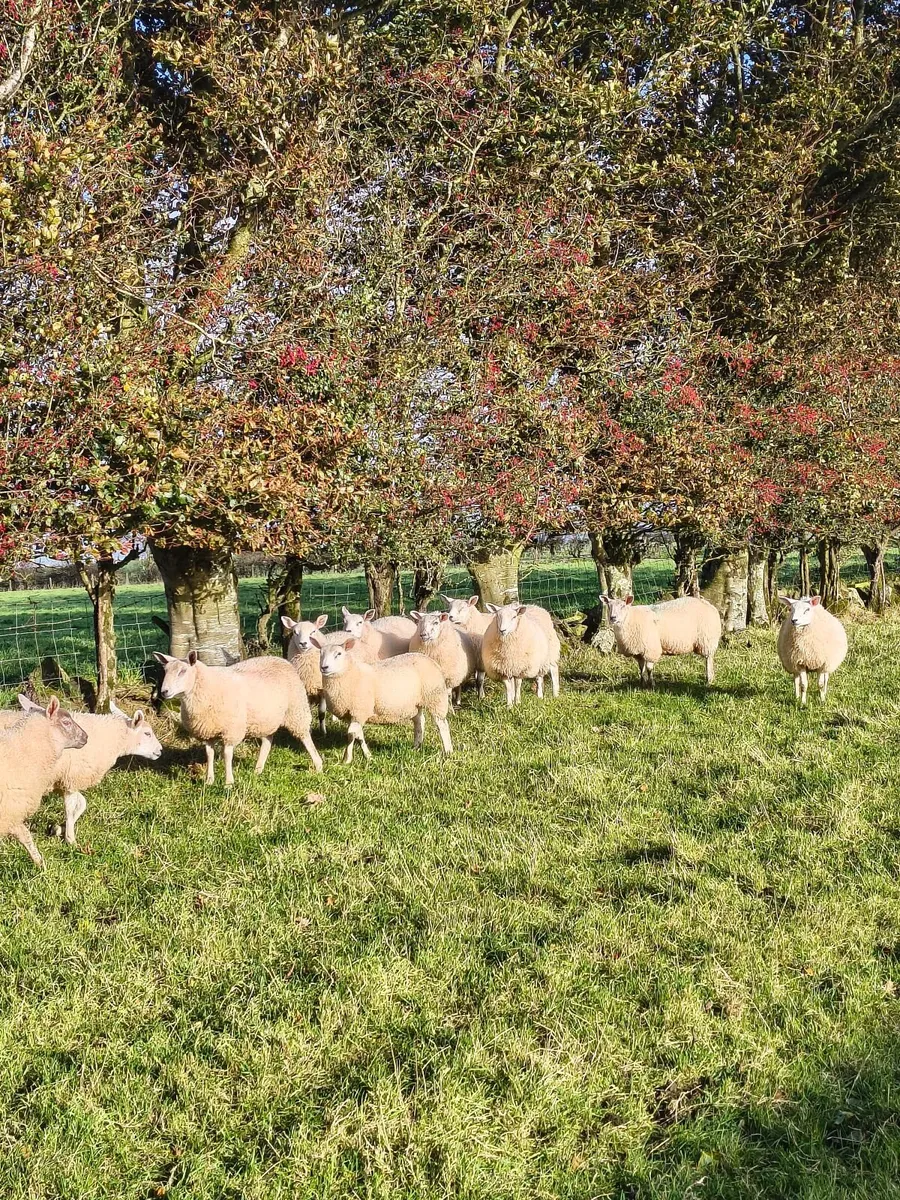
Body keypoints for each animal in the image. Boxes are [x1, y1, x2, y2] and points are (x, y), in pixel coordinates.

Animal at [0, 696, 88, 866]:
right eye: (66, 722)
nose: (86, 737)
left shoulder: (12, 811)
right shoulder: (11, 808)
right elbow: (25, 836)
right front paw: (40, 864)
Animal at [0, 698, 163, 846]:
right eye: (147, 733)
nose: (160, 750)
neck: (107, 739)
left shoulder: (64, 781)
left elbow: (82, 804)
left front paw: (59, 828)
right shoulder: (71, 778)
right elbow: (71, 807)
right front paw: (70, 839)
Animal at [154, 650, 322, 786]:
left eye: (182, 671)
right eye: (165, 671)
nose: (164, 692)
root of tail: (282, 660)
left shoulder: (231, 729)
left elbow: (227, 755)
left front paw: (228, 782)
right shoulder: (207, 731)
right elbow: (209, 754)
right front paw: (209, 780)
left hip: (296, 709)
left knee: (305, 737)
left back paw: (318, 764)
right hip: (266, 718)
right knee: (267, 742)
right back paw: (258, 769)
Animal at [310, 634, 452, 763]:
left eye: (339, 654)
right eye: (320, 653)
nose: (324, 667)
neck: (351, 674)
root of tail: (431, 660)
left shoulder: (359, 711)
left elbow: (351, 735)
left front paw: (346, 759)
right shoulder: (355, 714)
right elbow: (359, 736)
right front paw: (367, 755)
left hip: (435, 697)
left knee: (442, 725)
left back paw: (448, 751)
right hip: (415, 702)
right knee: (420, 721)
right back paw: (417, 746)